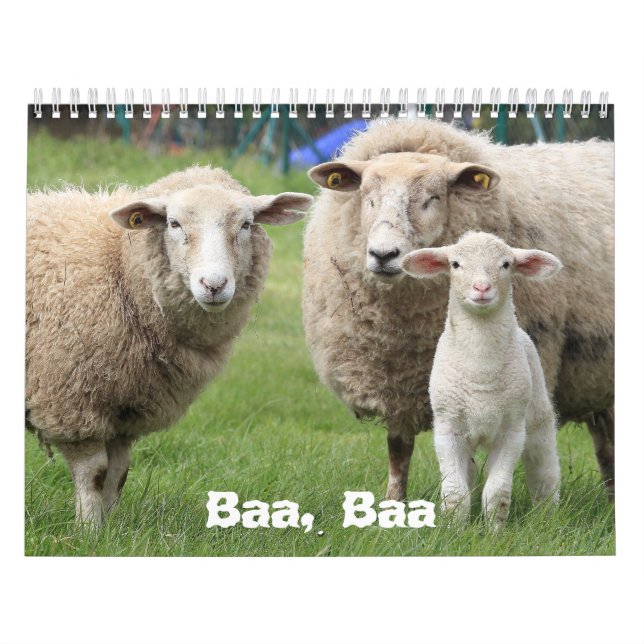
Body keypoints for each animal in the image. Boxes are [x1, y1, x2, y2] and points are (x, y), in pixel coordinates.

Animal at [26, 165, 313, 526]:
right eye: (174, 223)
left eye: (246, 224)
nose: (214, 285)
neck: (119, 266)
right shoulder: (70, 401)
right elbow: (94, 473)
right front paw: (88, 529)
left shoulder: (126, 411)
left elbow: (118, 474)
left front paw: (110, 530)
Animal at [402, 231, 562, 527]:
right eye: (455, 264)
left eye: (506, 264)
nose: (482, 288)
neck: (481, 371)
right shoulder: (448, 429)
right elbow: (455, 493)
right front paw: (454, 529)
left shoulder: (512, 431)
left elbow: (497, 492)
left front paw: (495, 531)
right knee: (471, 473)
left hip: (537, 418)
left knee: (545, 471)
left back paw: (546, 517)